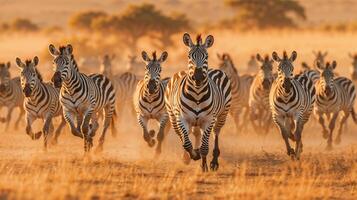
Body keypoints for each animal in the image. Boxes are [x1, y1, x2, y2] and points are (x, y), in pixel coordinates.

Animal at [164, 33, 231, 172]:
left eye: (206, 56)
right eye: (189, 56)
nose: (198, 77)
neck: (197, 94)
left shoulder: (208, 119)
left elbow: (205, 147)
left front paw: (204, 165)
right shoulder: (182, 118)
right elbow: (186, 142)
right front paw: (193, 155)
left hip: (222, 115)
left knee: (216, 133)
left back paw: (214, 161)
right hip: (173, 117)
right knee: (185, 134)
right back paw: (187, 156)